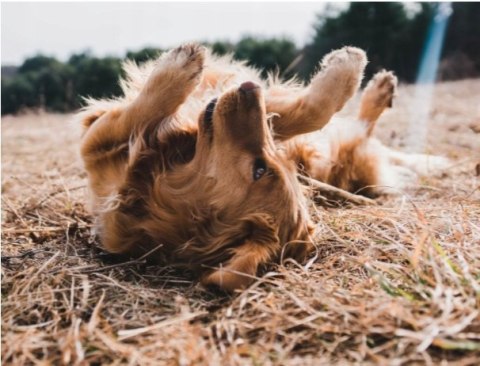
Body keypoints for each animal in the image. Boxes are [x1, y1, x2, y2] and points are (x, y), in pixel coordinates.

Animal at [77, 43, 448, 290]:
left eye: (261, 169)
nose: (250, 87)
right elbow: (307, 112)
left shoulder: (95, 147)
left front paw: (177, 69)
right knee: (361, 130)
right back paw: (382, 89)